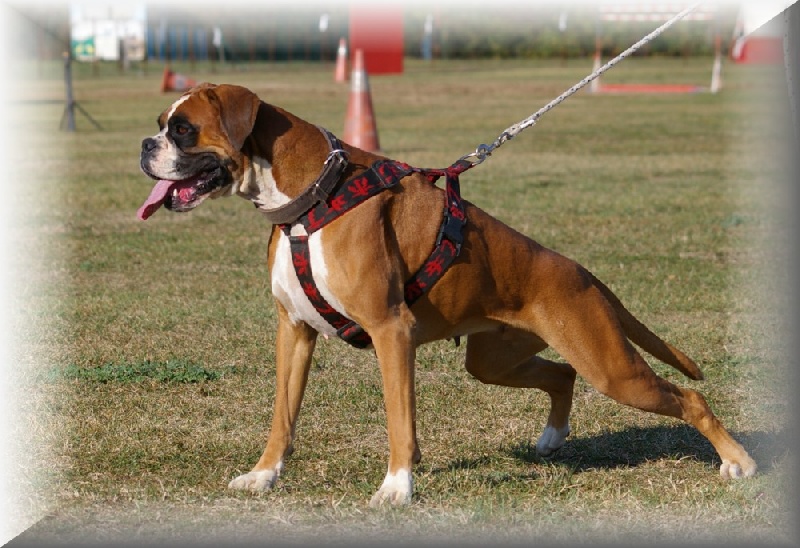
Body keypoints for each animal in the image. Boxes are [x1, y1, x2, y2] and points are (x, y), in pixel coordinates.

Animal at [138, 83, 756, 508]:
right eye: (162, 125)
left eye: (184, 130)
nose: (145, 144)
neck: (316, 195)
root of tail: (579, 270)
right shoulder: (294, 332)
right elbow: (282, 417)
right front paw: (264, 475)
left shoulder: (392, 333)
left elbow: (399, 420)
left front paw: (397, 488)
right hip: (494, 361)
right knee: (562, 375)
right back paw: (552, 438)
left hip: (612, 368)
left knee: (688, 398)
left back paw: (738, 462)